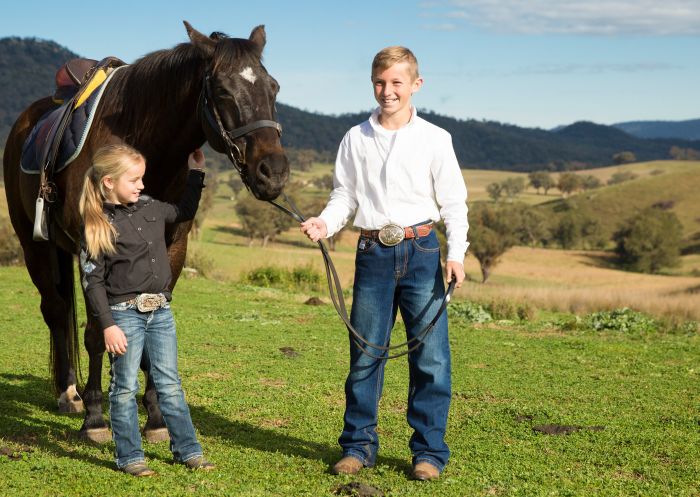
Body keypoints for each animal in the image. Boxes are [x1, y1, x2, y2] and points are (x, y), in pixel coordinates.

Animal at [2, 22, 288, 442]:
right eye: (222, 90)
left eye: (273, 87)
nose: (274, 172)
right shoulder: (92, 249)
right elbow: (95, 333)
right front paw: (95, 417)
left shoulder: (173, 249)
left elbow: (154, 326)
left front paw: (155, 417)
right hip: (32, 244)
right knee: (55, 311)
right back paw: (70, 394)